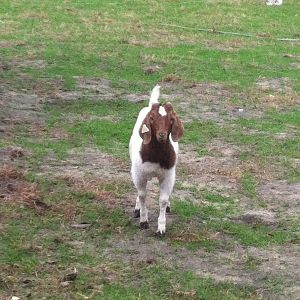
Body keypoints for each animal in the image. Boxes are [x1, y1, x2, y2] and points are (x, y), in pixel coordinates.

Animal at [128, 84, 184, 234]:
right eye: (152, 119)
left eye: (171, 119)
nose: (162, 135)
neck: (155, 156)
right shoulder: (139, 173)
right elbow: (142, 195)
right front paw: (143, 220)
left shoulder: (168, 175)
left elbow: (163, 200)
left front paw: (161, 228)